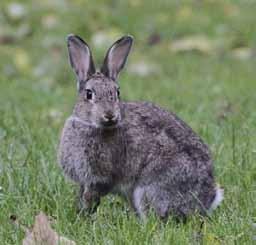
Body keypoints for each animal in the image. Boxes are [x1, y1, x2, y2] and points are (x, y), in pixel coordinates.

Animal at [57, 34, 222, 220]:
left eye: (117, 92)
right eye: (89, 94)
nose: (110, 115)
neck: (88, 124)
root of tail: (208, 200)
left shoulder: (99, 178)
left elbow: (91, 197)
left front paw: (83, 215)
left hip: (148, 190)